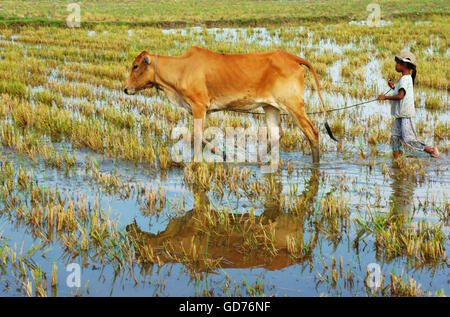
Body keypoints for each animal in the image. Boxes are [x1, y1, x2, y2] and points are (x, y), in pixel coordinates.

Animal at [125, 47, 336, 163]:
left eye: (135, 66)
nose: (126, 89)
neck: (181, 68)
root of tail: (290, 57)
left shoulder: (198, 106)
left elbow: (196, 136)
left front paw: (195, 163)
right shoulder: (204, 110)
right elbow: (202, 137)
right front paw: (223, 154)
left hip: (293, 106)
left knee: (312, 133)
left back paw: (316, 165)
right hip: (270, 107)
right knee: (277, 134)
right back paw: (258, 159)